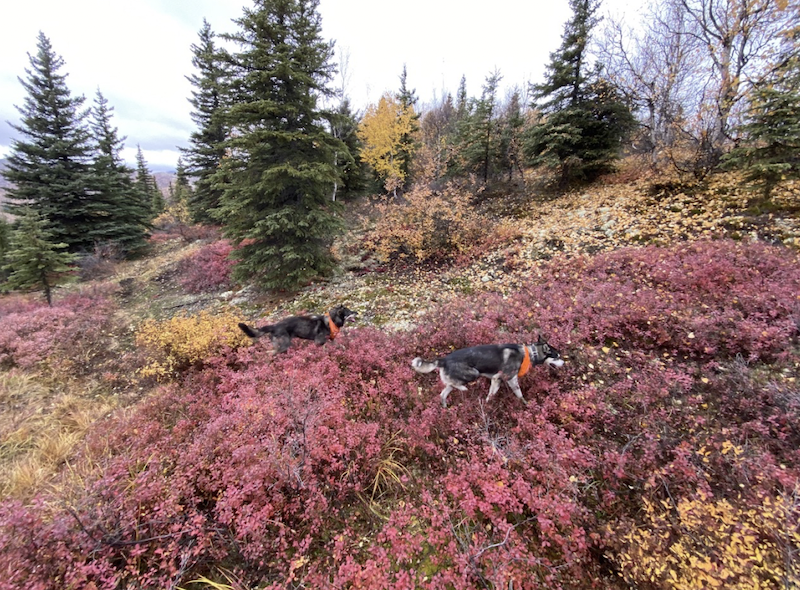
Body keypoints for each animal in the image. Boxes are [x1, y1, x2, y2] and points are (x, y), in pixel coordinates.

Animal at [412, 338, 564, 408]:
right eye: (556, 357)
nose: (564, 363)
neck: (529, 354)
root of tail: (443, 359)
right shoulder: (507, 378)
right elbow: (519, 394)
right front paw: (526, 404)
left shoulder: (496, 381)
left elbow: (491, 395)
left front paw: (486, 405)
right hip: (473, 373)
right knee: (457, 384)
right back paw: (464, 388)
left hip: (452, 382)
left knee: (443, 393)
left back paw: (445, 407)